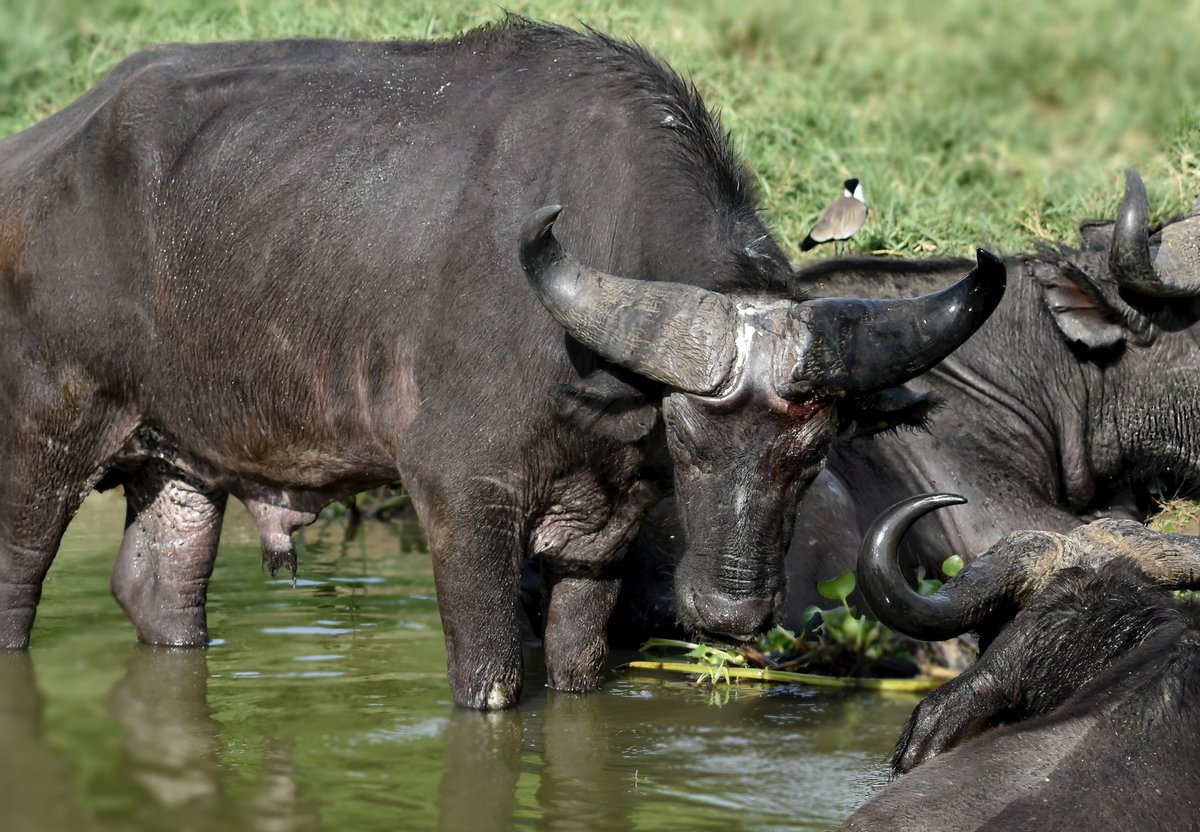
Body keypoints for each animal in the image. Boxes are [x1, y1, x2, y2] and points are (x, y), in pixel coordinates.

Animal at [0, 19, 1003, 708]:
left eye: (813, 451)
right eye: (691, 440)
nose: (727, 614)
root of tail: (32, 158)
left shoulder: (602, 536)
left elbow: (577, 670)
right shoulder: (457, 489)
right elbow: (487, 681)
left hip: (181, 461)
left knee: (157, 591)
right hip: (42, 436)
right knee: (19, 578)